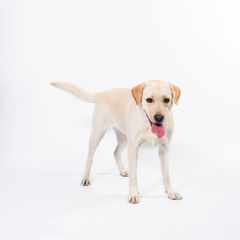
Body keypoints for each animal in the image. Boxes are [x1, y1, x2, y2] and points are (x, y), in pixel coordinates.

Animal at [50, 79, 182, 203]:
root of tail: (103, 92)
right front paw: (133, 194)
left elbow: (166, 175)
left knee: (116, 152)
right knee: (90, 157)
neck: (147, 125)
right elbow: (134, 176)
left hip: (123, 138)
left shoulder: (164, 148)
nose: (159, 117)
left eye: (166, 100)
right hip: (97, 134)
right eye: (149, 100)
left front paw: (171, 192)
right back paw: (86, 178)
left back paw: (123, 171)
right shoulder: (133, 149)